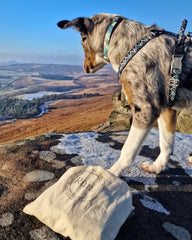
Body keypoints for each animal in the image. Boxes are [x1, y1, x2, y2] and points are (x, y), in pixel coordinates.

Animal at [57, 14, 192, 177]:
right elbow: (166, 143)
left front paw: (112, 174)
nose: (85, 68)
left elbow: (127, 150)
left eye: (83, 39)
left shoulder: (146, 109)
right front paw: (157, 167)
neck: (133, 46)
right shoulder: (166, 108)